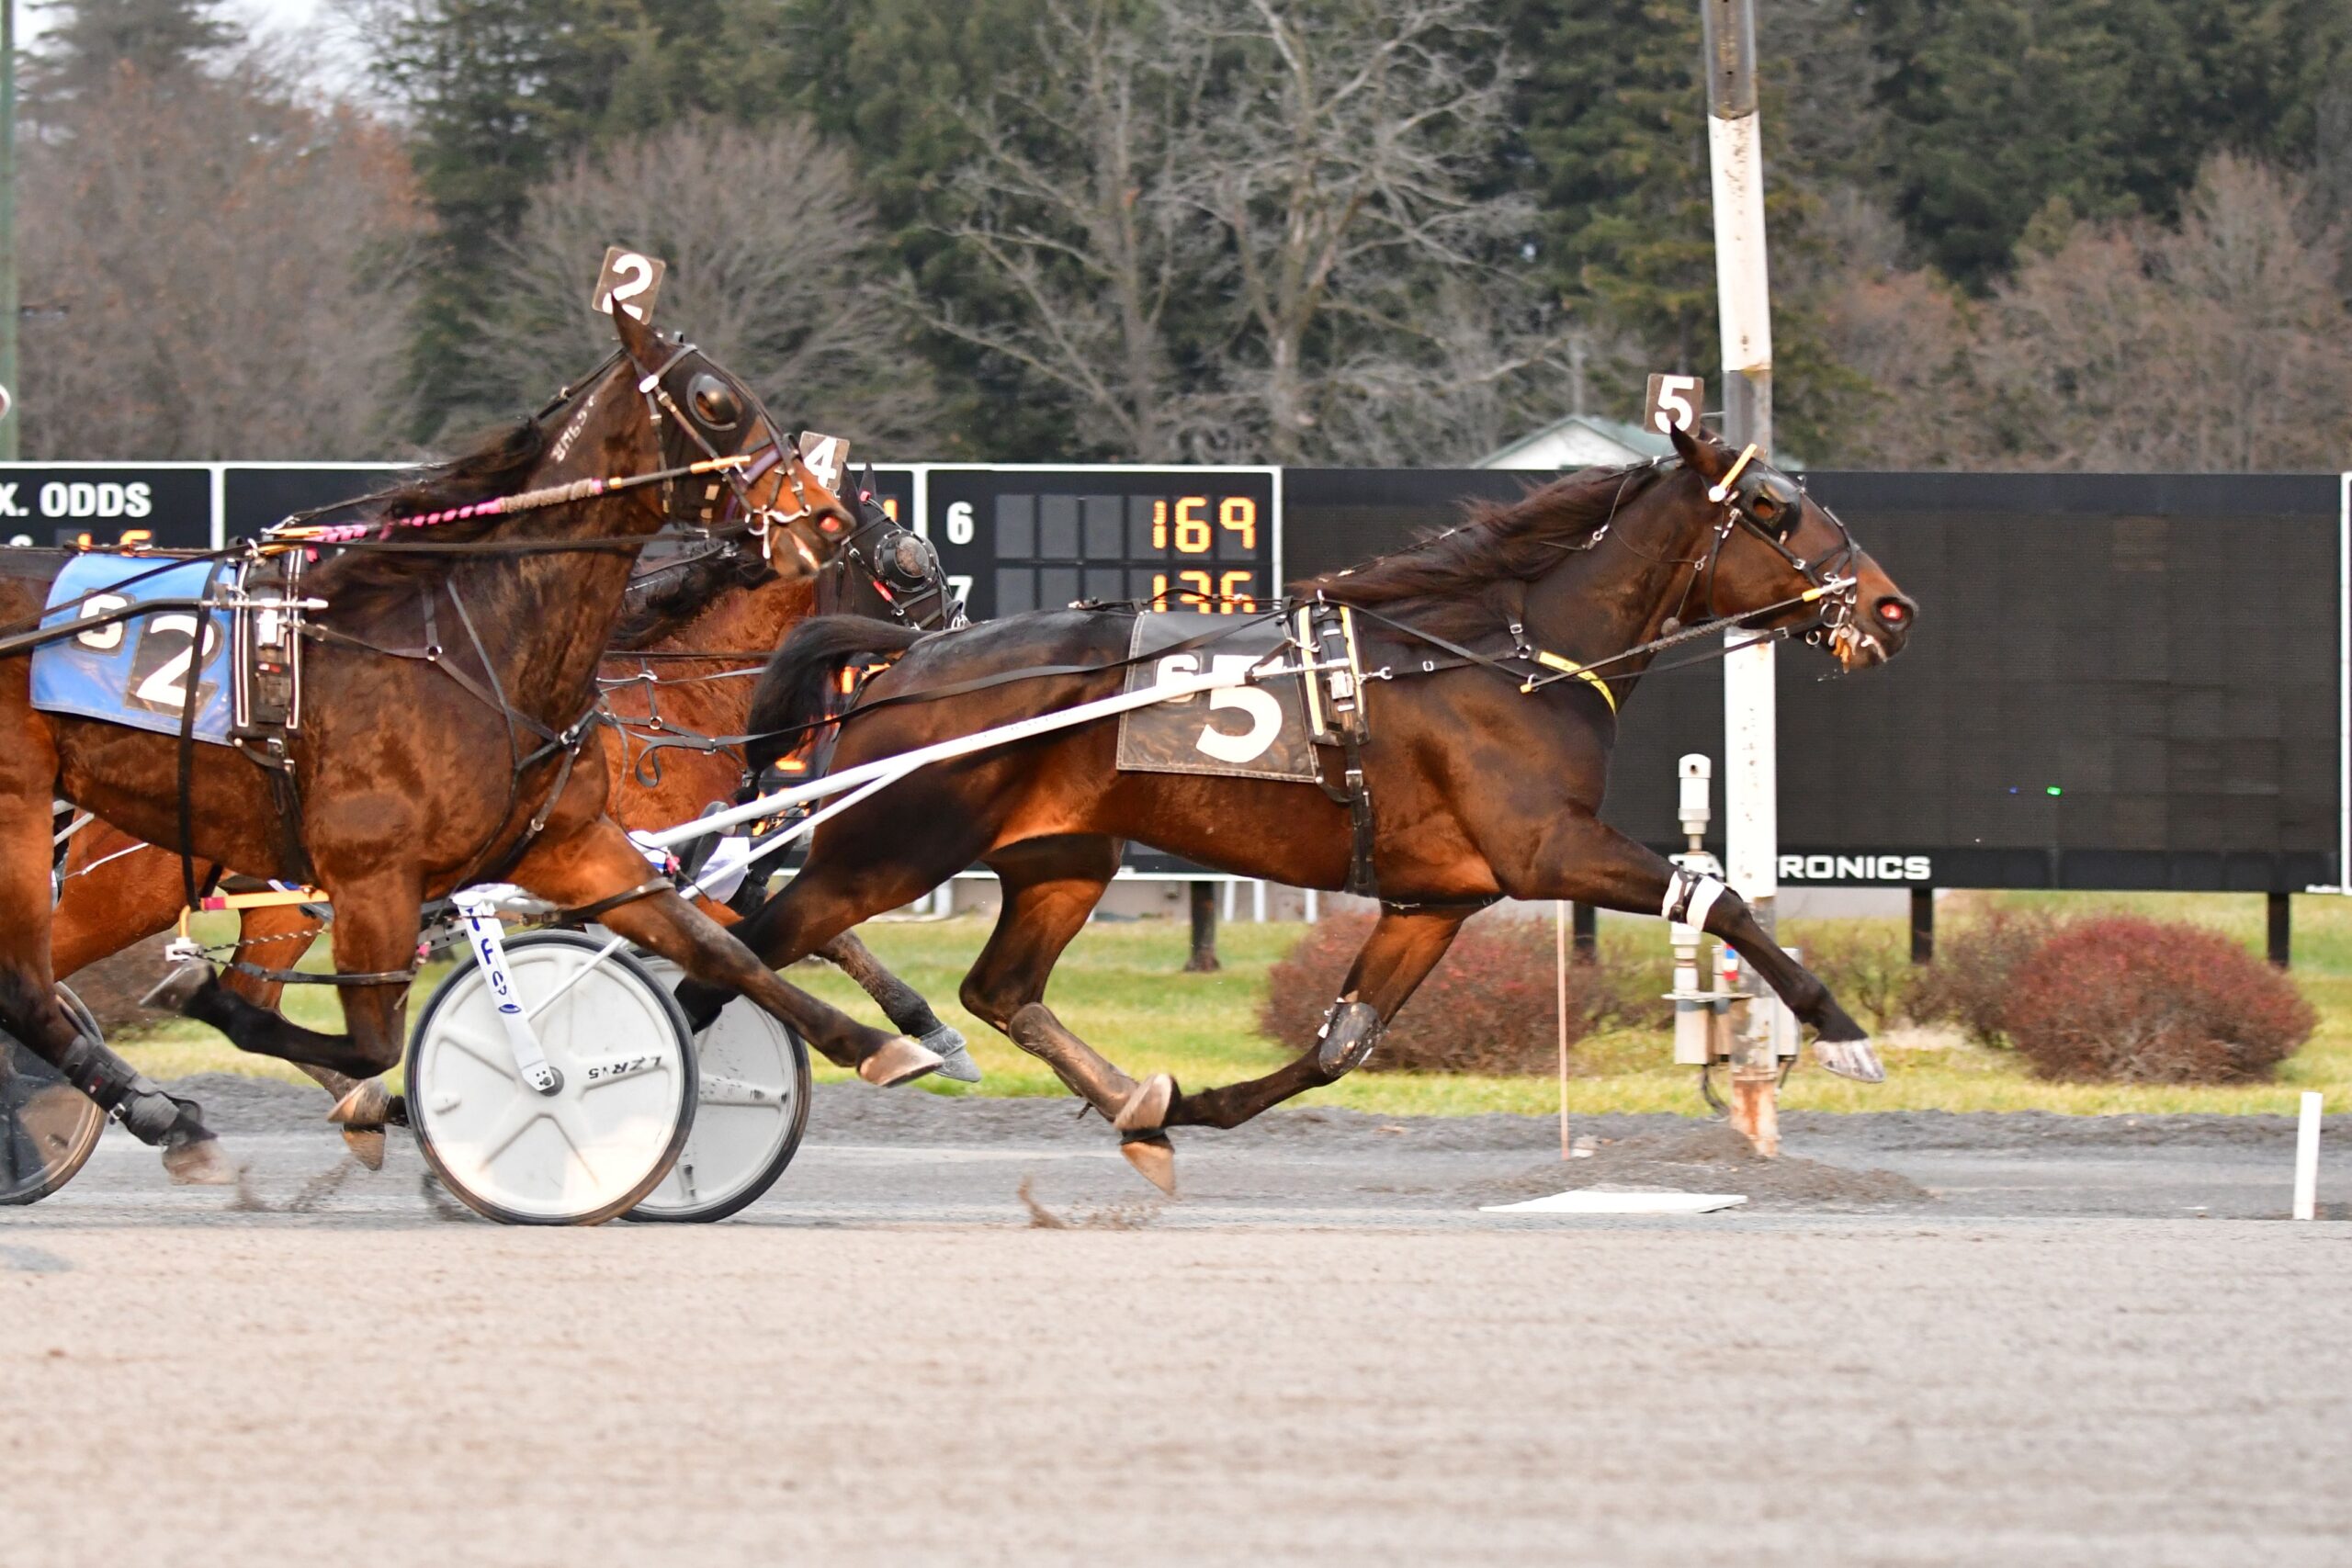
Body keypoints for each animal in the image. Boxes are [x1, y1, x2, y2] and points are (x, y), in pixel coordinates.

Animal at [2, 305, 935, 1184]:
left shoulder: (589, 854)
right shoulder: (424, 873)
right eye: (911, 562)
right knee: (42, 983)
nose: (950, 632)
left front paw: (899, 1035)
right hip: (122, 875)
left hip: (268, 901)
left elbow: (743, 946)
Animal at [677, 421, 1909, 1189]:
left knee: (998, 989)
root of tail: (905, 663)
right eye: (1774, 505)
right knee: (730, 952)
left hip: (1062, 856)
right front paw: (1845, 1035)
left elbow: (1341, 1045)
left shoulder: (1434, 898)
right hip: (887, 851)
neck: (1510, 658)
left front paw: (1186, 1107)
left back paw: (1125, 1100)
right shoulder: (1549, 848)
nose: (1891, 608)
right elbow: (1724, 900)